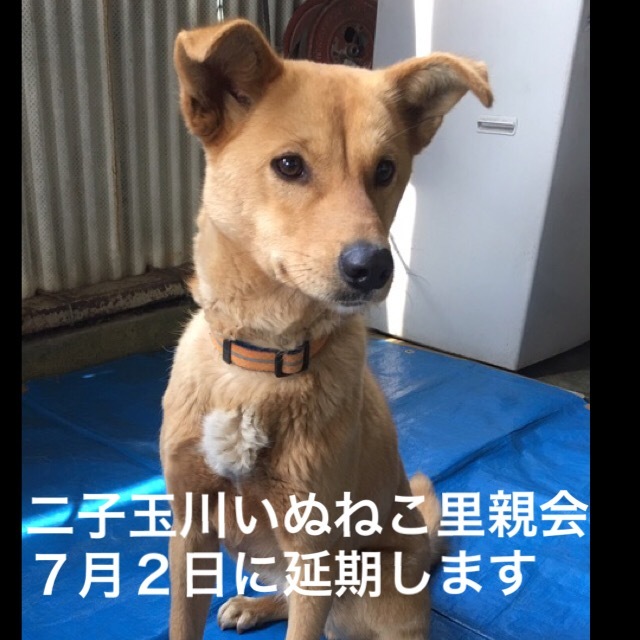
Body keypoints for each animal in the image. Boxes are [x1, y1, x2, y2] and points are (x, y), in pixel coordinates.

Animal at [160, 18, 492, 640]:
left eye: (385, 170)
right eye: (290, 165)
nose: (374, 268)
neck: (262, 356)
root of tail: (424, 549)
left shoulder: (314, 550)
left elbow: (302, 622)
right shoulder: (189, 531)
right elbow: (180, 624)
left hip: (380, 590)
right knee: (288, 598)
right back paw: (255, 604)